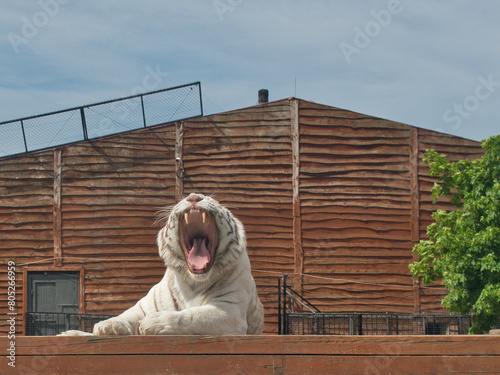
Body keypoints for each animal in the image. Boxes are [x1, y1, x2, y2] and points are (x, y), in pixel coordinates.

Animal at [62, 195, 264, 336]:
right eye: (186, 197)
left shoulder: (230, 309)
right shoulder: (144, 306)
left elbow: (196, 315)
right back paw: (70, 333)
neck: (193, 281)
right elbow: (128, 314)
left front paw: (154, 323)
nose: (194, 197)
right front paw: (108, 324)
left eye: (213, 200)